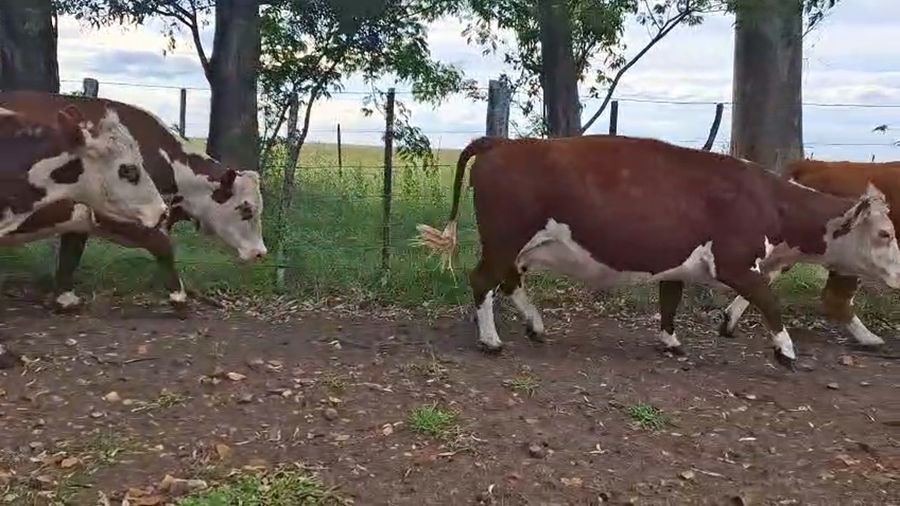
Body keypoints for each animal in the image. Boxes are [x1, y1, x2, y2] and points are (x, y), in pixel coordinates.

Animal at [0, 90, 267, 313]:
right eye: (246, 209)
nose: (260, 253)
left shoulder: (80, 218)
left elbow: (70, 256)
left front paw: (65, 298)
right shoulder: (113, 213)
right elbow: (163, 246)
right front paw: (179, 296)